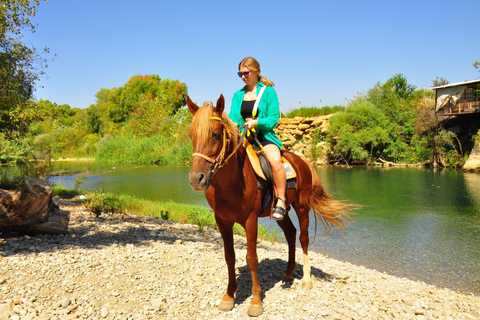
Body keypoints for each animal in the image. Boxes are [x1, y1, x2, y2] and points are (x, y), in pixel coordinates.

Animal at [188, 94, 356, 316]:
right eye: (191, 136)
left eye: (215, 134)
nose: (196, 179)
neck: (233, 181)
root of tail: (303, 162)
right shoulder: (222, 221)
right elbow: (229, 256)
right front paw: (229, 296)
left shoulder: (250, 220)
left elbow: (252, 258)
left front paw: (255, 301)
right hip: (281, 213)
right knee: (291, 233)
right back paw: (288, 273)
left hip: (302, 208)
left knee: (303, 238)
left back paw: (306, 279)